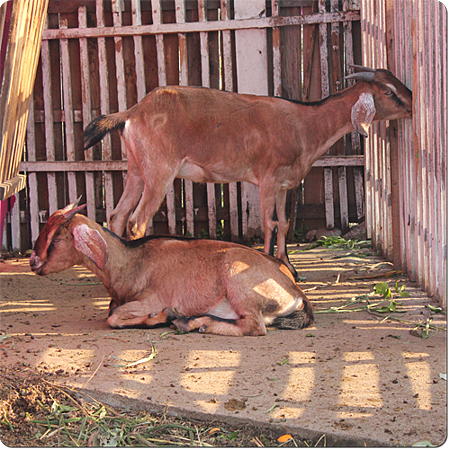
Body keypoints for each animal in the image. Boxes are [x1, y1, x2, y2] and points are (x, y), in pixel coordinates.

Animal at [30, 199, 312, 336]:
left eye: (56, 239)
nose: (34, 262)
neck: (130, 262)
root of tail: (297, 294)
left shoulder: (152, 298)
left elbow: (113, 317)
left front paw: (159, 317)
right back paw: (189, 322)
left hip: (238, 282)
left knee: (255, 327)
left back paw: (186, 322)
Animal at [82, 65, 414, 280]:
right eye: (388, 91)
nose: (413, 104)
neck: (304, 124)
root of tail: (132, 112)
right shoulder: (267, 180)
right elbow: (269, 223)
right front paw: (271, 266)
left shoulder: (283, 185)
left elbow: (284, 222)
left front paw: (290, 267)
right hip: (159, 170)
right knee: (137, 221)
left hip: (137, 169)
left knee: (117, 215)